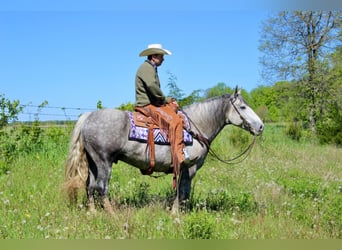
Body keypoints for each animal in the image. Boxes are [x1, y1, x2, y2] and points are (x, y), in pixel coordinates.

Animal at [64, 87, 264, 213]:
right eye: (243, 107)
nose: (261, 126)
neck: (196, 126)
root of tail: (88, 116)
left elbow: (184, 192)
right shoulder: (188, 167)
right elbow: (182, 192)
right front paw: (177, 214)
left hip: (93, 162)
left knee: (89, 186)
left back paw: (93, 213)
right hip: (104, 161)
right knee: (101, 187)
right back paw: (112, 215)